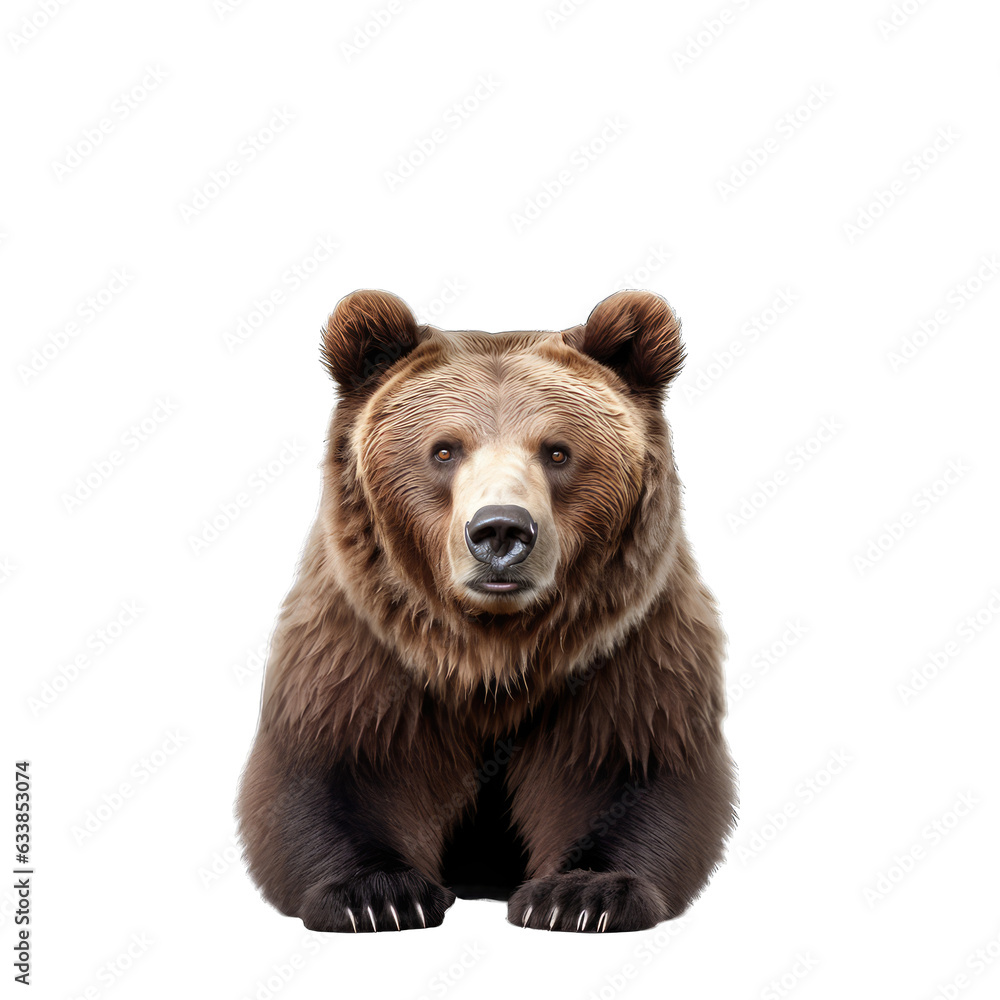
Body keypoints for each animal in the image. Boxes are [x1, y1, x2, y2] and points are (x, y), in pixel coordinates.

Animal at [237, 288, 736, 933]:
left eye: (557, 451)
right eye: (444, 449)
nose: (500, 530)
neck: (493, 652)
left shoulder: (625, 647)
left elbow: (630, 766)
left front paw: (582, 895)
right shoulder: (363, 643)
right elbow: (334, 766)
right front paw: (378, 894)